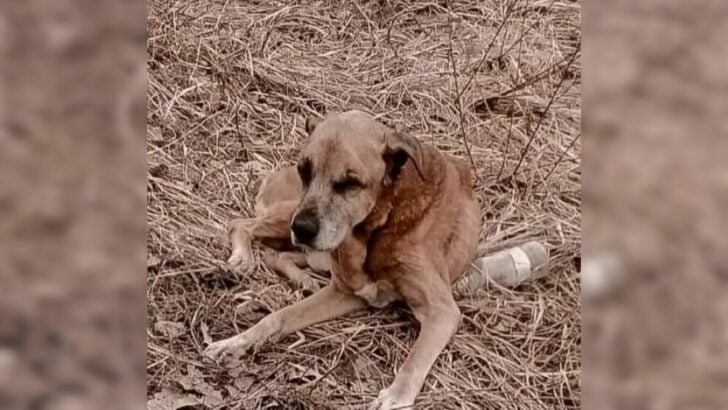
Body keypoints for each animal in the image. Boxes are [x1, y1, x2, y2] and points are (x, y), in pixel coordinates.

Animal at [205, 110, 480, 408]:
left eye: (350, 183)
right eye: (304, 171)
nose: (302, 229)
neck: (381, 224)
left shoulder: (441, 310)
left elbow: (415, 359)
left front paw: (395, 395)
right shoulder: (345, 290)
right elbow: (278, 316)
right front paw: (236, 341)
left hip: (308, 243)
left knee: (275, 253)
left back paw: (301, 279)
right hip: (291, 215)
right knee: (241, 226)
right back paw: (243, 258)